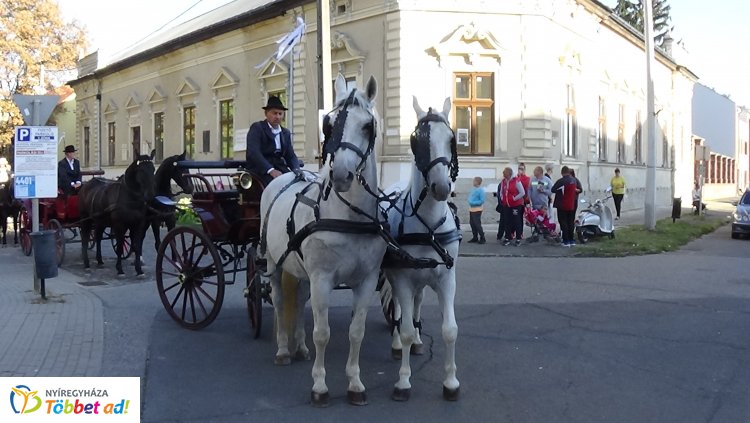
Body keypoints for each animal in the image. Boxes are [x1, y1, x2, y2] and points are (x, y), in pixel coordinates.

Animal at [262, 73, 388, 408]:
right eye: (328, 124)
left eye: (367, 126)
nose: (342, 174)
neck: (349, 217)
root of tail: (288, 176)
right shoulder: (322, 278)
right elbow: (323, 332)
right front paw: (319, 386)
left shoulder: (366, 280)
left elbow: (356, 332)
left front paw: (355, 383)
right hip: (273, 263)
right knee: (279, 301)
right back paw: (283, 350)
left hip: (302, 271)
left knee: (299, 303)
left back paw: (300, 348)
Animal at [382, 97, 464, 402]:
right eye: (417, 140)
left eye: (451, 139)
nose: (441, 187)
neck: (428, 225)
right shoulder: (403, 278)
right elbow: (404, 327)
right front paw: (403, 381)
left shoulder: (446, 278)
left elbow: (450, 330)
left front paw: (451, 382)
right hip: (395, 276)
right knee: (397, 311)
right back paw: (398, 345)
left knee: (415, 306)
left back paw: (418, 341)